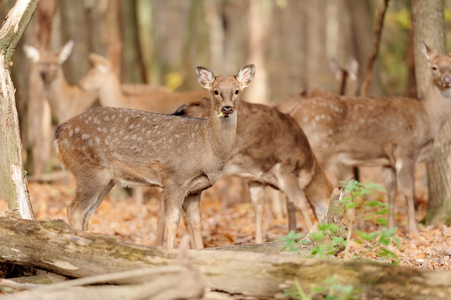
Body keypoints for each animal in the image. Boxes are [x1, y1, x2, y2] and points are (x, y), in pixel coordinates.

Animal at [54, 63, 256, 248]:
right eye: (215, 91)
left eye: (237, 90)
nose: (227, 108)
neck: (206, 147)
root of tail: (59, 133)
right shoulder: (175, 179)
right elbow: (172, 221)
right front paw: (168, 252)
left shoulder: (195, 189)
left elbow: (197, 222)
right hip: (89, 170)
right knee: (74, 210)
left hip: (107, 179)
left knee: (87, 212)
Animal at [171, 98, 334, 244]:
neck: (307, 166)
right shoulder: (285, 167)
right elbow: (300, 202)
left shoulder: (256, 179)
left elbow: (258, 207)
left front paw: (259, 241)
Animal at [290, 42, 451, 234]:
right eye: (434, 67)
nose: (447, 79)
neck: (428, 118)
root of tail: (293, 112)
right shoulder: (406, 151)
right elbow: (408, 191)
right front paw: (413, 229)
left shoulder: (388, 162)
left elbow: (391, 192)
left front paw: (390, 228)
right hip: (318, 151)